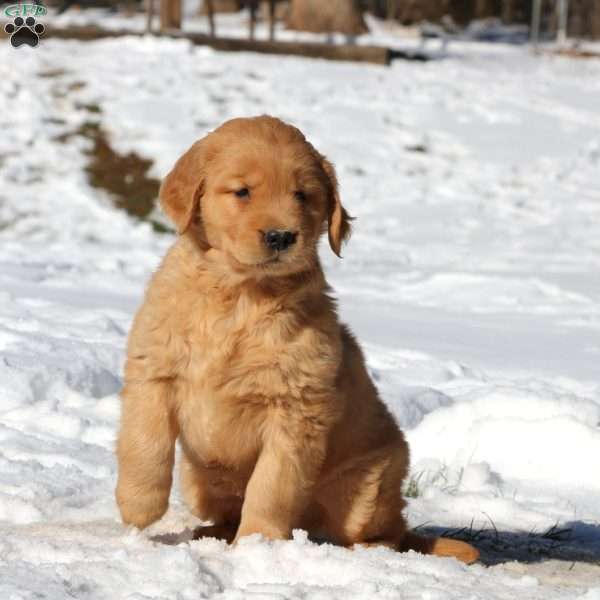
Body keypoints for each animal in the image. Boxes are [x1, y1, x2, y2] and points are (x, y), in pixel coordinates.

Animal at [117, 115, 480, 564]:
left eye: (302, 195)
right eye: (242, 191)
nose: (281, 236)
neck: (239, 296)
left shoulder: (295, 409)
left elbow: (271, 485)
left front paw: (258, 542)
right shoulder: (154, 372)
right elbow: (144, 445)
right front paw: (138, 507)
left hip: (371, 481)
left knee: (385, 533)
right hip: (198, 477)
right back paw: (211, 532)